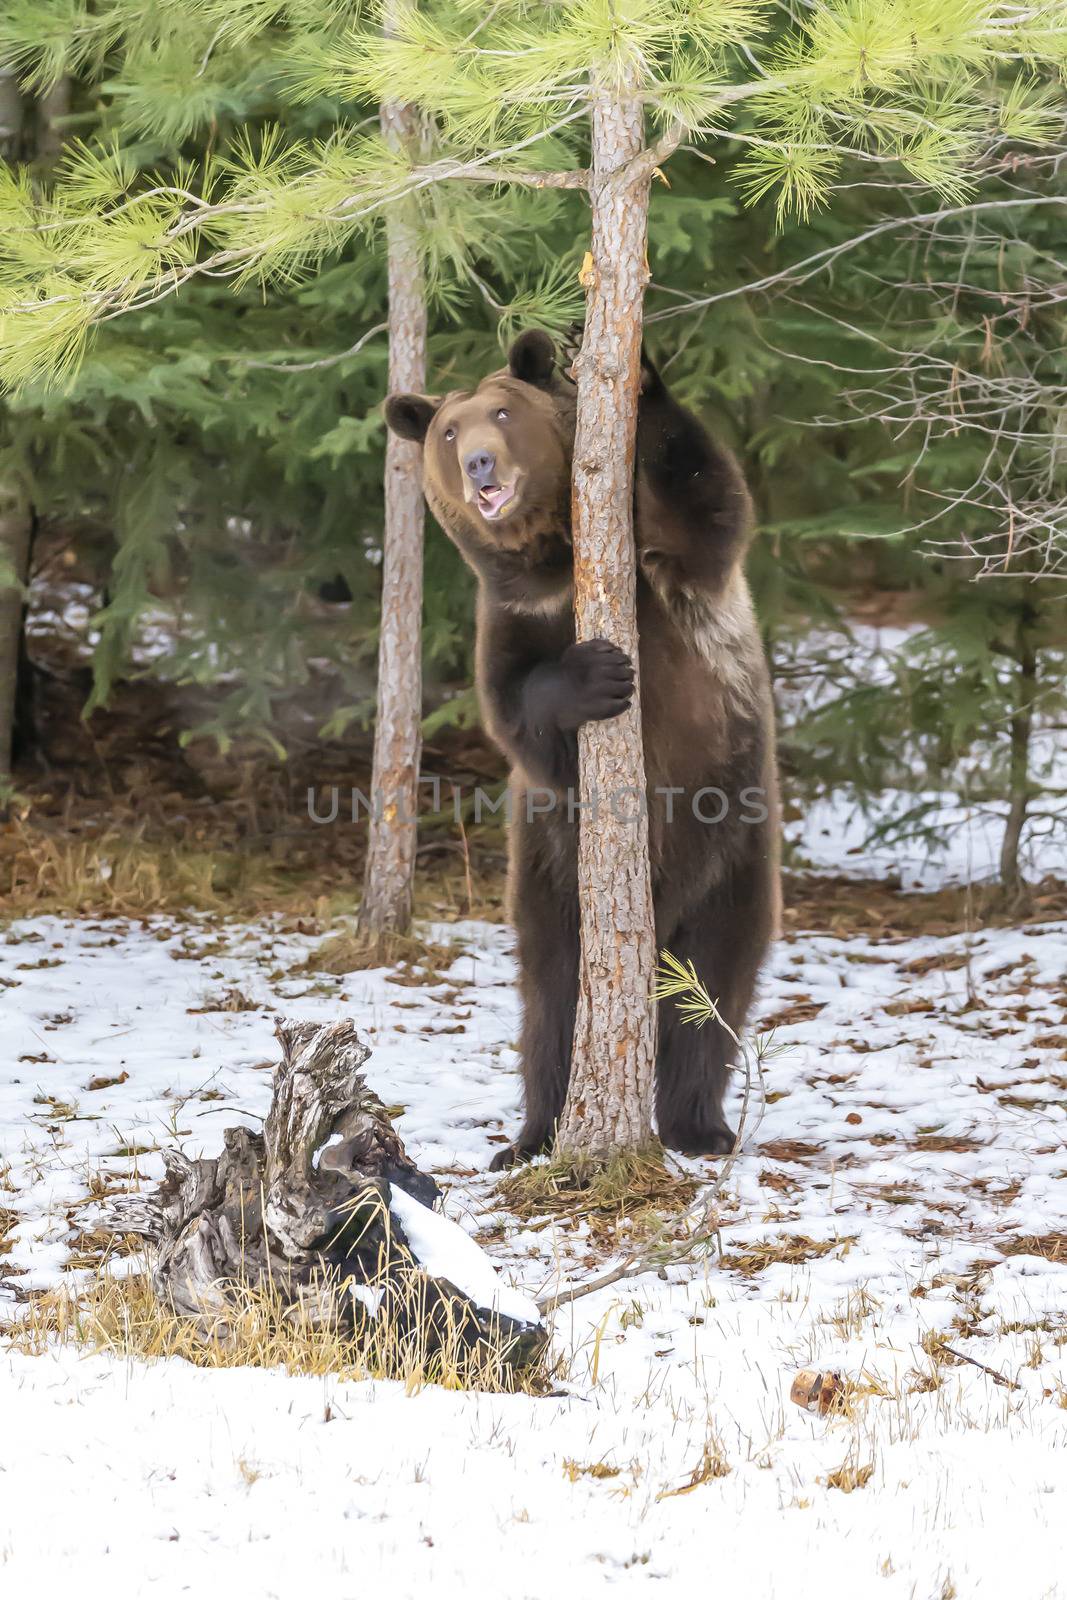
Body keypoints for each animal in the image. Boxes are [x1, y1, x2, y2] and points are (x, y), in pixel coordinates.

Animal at [388, 331, 780, 1171]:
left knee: (712, 981)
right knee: (554, 997)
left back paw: (698, 1124)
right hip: (552, 869)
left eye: (503, 412)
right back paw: (533, 1134)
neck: (554, 559)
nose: (479, 463)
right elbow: (515, 710)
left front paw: (639, 375)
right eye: (448, 431)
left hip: (730, 842)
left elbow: (709, 503)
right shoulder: (511, 617)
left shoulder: (665, 566)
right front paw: (595, 674)